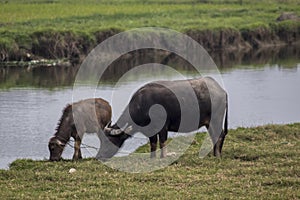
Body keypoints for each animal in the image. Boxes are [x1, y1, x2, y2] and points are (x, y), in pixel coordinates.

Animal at [99, 77, 229, 161]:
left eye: (108, 140)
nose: (99, 156)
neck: (143, 105)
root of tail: (221, 91)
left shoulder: (163, 127)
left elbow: (162, 142)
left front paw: (163, 157)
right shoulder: (151, 130)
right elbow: (153, 143)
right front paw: (152, 158)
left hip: (216, 120)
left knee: (220, 134)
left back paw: (217, 155)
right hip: (209, 123)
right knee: (214, 136)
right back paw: (214, 154)